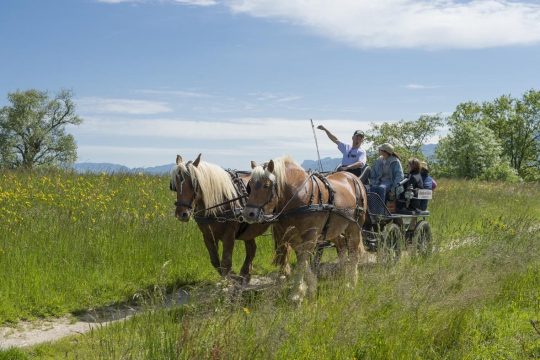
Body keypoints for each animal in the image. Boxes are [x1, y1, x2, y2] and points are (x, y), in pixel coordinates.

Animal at [170, 153, 272, 286]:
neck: (219, 202)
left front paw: (230, 279)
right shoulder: (208, 235)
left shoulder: (229, 234)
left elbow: (225, 262)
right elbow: (215, 262)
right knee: (251, 248)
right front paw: (233, 276)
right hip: (249, 229)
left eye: (194, 182)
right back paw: (245, 274)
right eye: (175, 184)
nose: (182, 213)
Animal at [244, 156, 368, 302]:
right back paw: (343, 276)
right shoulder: (294, 237)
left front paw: (295, 294)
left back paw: (351, 283)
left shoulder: (310, 236)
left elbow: (302, 263)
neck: (299, 196)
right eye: (250, 186)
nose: (249, 214)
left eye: (266, 185)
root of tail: (353, 177)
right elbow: (303, 261)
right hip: (335, 229)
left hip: (354, 227)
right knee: (341, 246)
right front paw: (310, 287)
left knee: (354, 252)